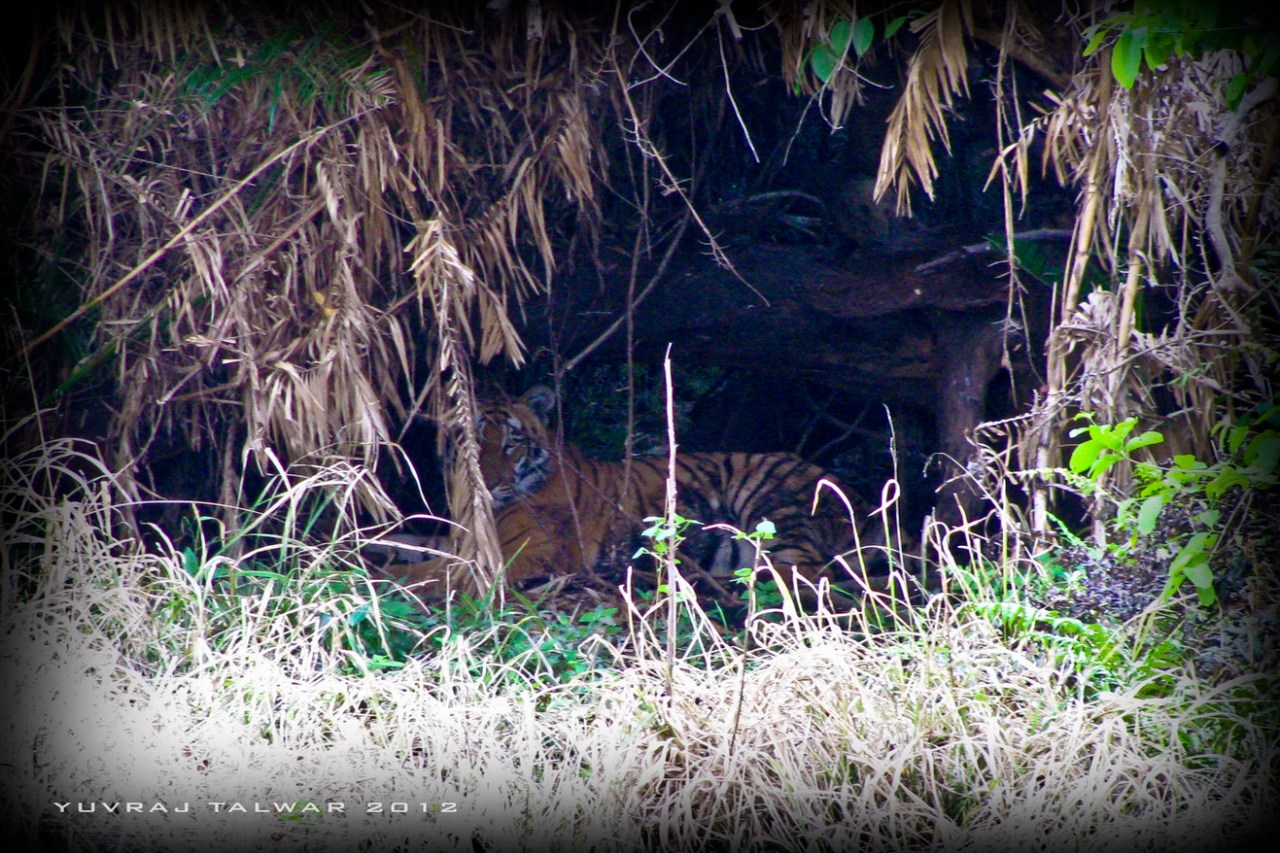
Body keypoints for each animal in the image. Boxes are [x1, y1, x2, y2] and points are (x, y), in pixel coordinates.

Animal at [387, 385, 903, 603]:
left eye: (511, 441)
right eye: (473, 440)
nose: (491, 484)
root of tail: (858, 500)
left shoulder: (518, 555)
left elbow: (424, 575)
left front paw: (381, 581)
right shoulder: (459, 540)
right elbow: (408, 547)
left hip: (770, 497)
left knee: (807, 574)